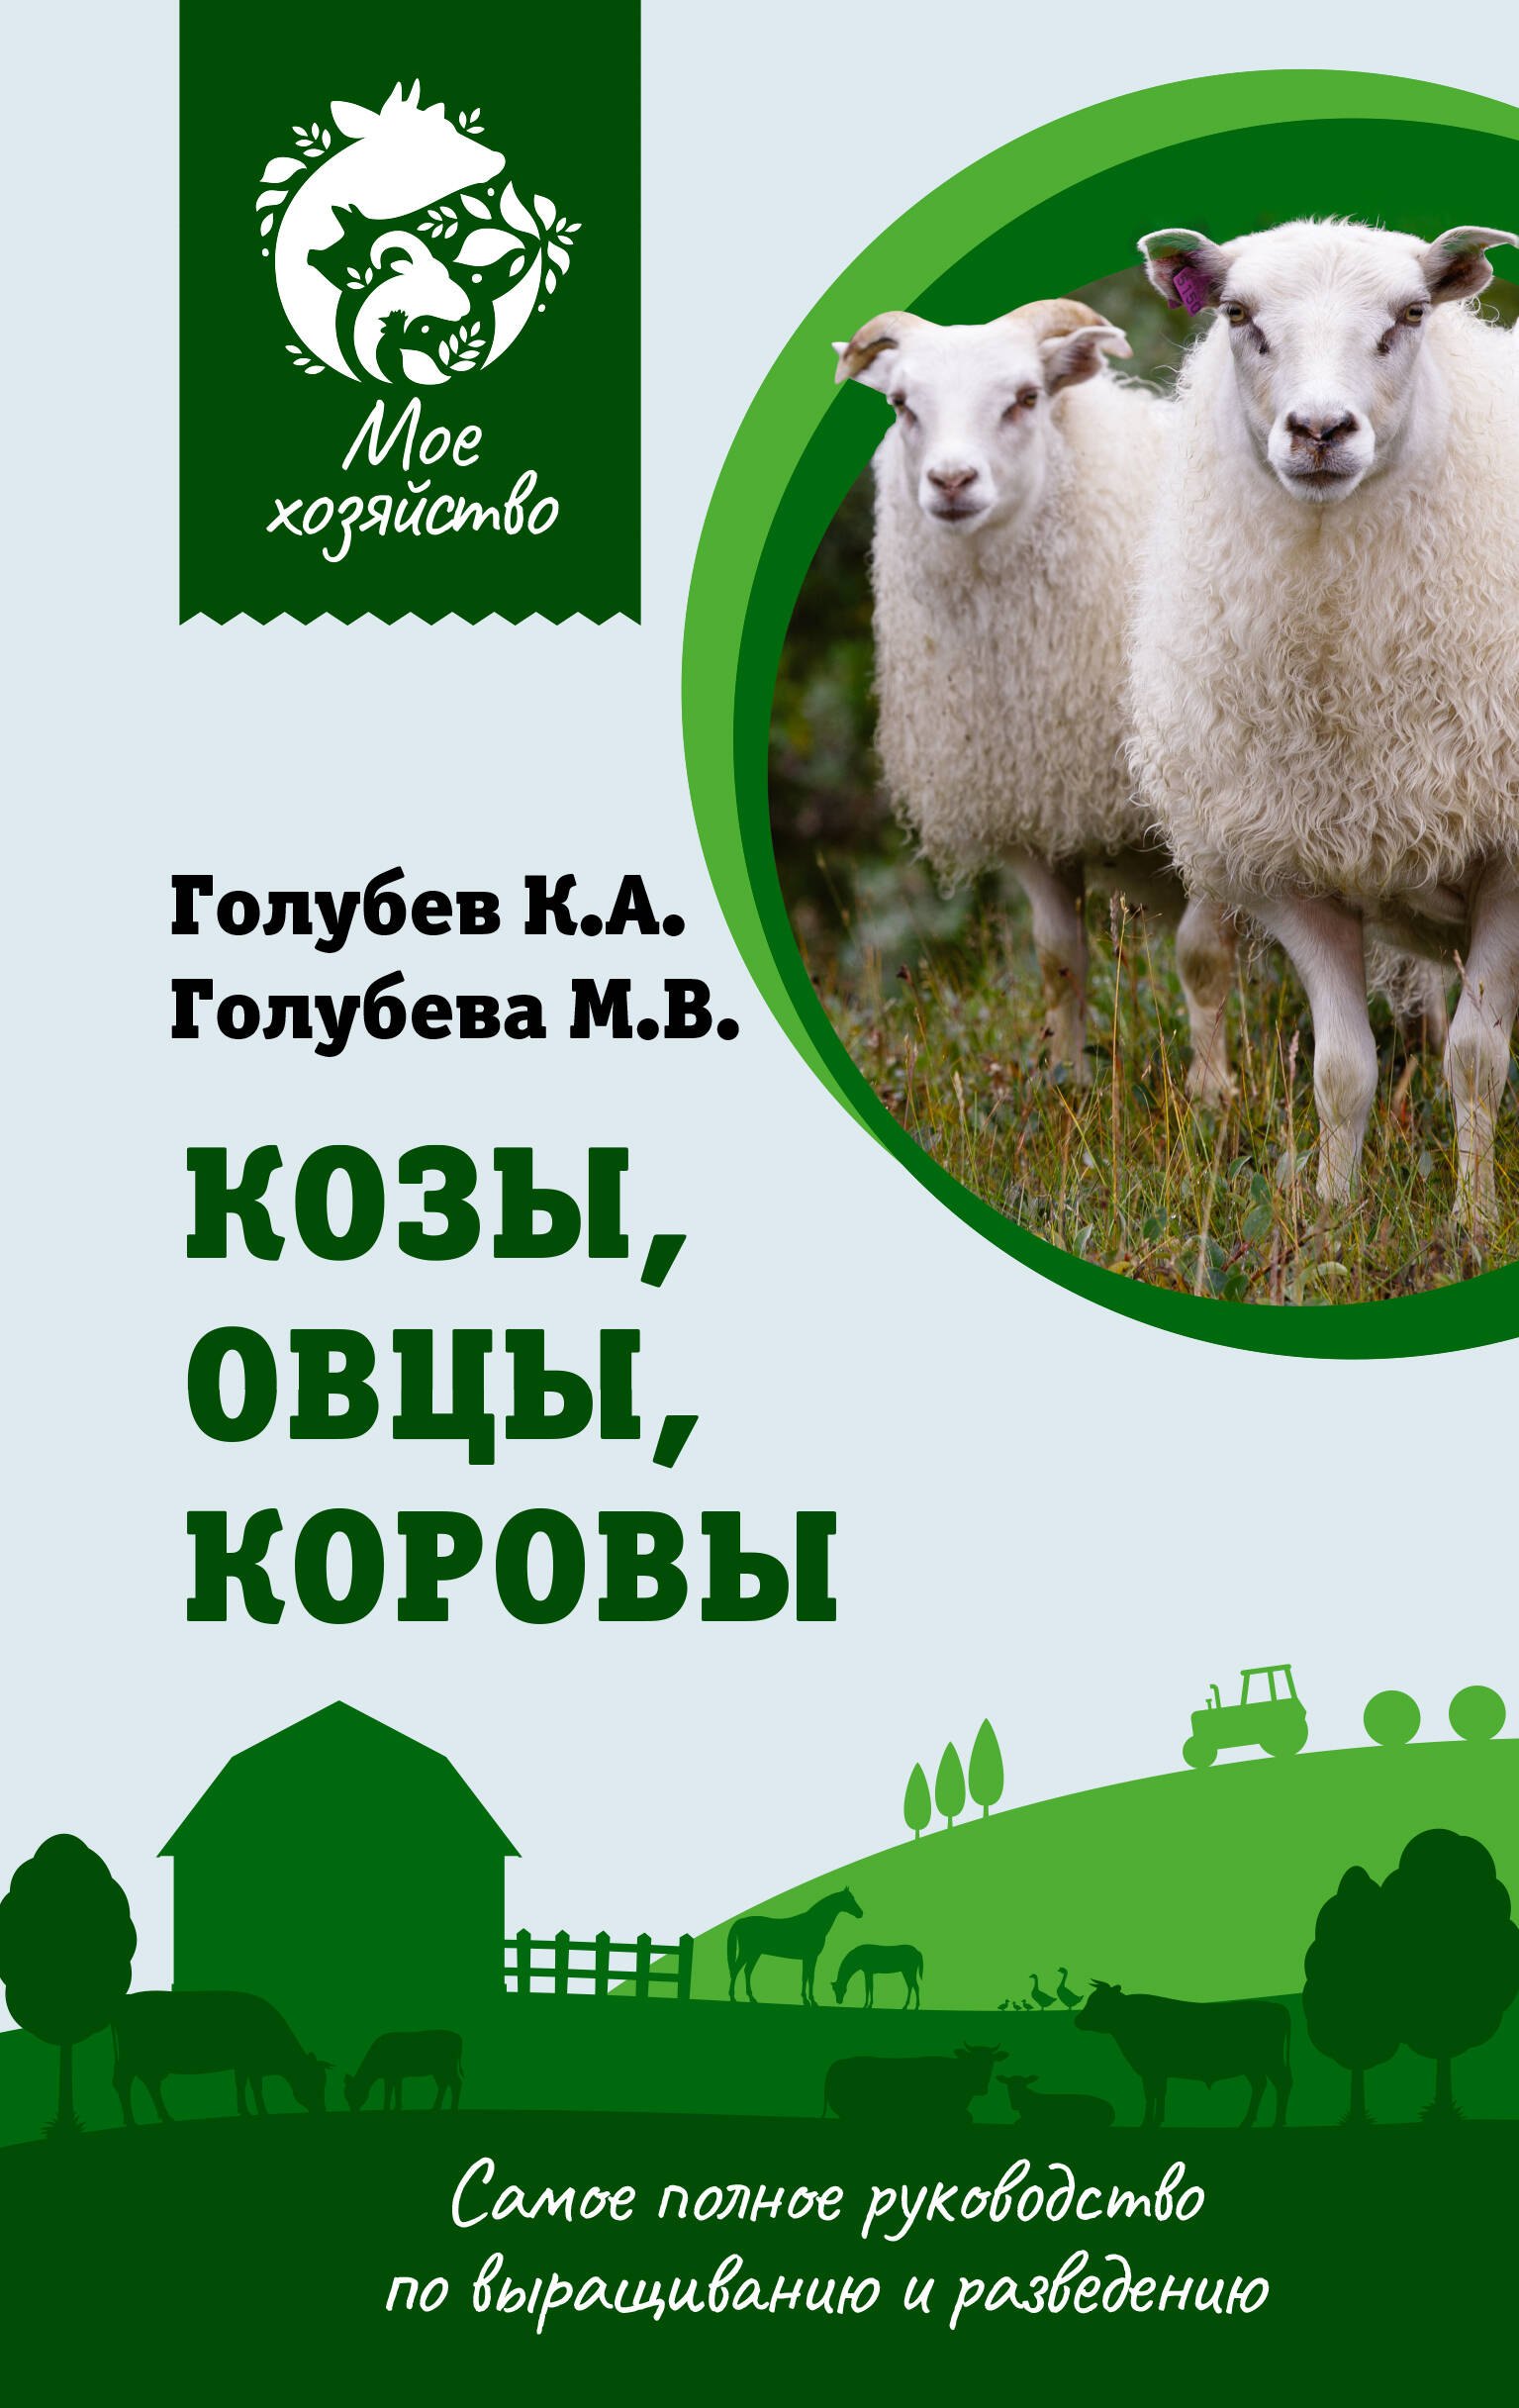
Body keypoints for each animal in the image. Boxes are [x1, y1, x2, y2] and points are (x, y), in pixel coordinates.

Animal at [112, 1991, 329, 2124]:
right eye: (312, 2081)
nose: (321, 2111)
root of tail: (124, 2002)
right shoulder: (252, 2065)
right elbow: (255, 2087)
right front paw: (262, 2112)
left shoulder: (242, 2066)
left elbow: (240, 2084)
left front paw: (245, 2111)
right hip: (134, 2059)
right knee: (124, 2082)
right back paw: (133, 2121)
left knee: (149, 2084)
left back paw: (163, 2117)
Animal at [835, 300, 1238, 1103]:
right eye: (901, 405)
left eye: (1025, 397)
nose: (951, 480)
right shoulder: (1033, 803)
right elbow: (1058, 958)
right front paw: (1065, 1081)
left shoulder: (1205, 802)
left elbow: (1201, 955)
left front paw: (1212, 1095)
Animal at [1075, 1981, 1291, 2127]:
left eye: (1099, 2001)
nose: (1077, 2020)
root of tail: (1277, 2007)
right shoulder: (1157, 2072)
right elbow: (1159, 2093)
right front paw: (1157, 2120)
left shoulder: (1151, 2070)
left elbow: (1152, 2094)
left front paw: (1147, 2123)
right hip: (1253, 2066)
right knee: (1260, 2085)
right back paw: (1247, 2122)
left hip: (1270, 2060)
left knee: (1282, 2083)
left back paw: (1277, 2123)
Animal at [1129, 218, 1519, 1225]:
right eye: (1237, 315)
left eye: (1410, 315)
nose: (1316, 430)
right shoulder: (1292, 868)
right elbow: (1341, 1072)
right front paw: (1330, 1220)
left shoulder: (1511, 862)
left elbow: (1474, 1060)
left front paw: (1472, 1224)